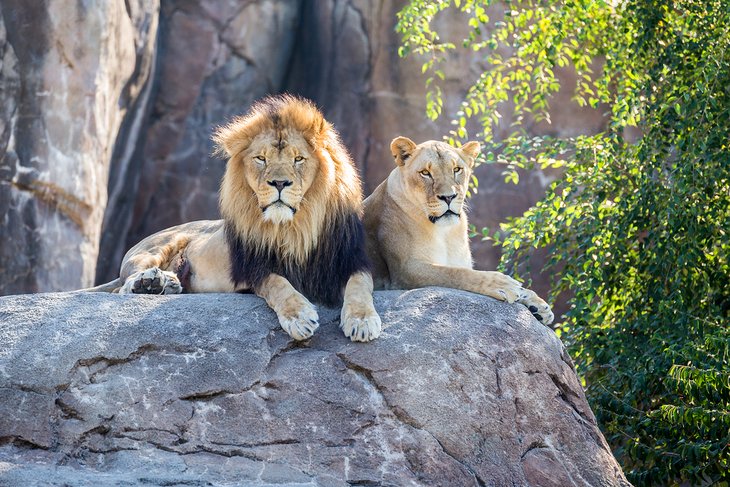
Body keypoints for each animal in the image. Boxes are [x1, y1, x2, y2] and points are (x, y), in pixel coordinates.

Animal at [91, 96, 382, 344]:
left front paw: (362, 321)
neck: (293, 227)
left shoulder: (351, 259)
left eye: (298, 159)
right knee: (123, 286)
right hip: (151, 249)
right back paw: (150, 283)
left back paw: (166, 284)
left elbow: (360, 285)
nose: (279, 183)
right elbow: (279, 285)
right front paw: (300, 317)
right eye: (261, 158)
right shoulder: (255, 269)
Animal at [362, 136, 556, 328]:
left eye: (456, 170)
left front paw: (537, 303)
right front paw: (503, 284)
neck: (446, 232)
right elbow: (455, 273)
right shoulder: (405, 271)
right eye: (425, 173)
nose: (448, 197)